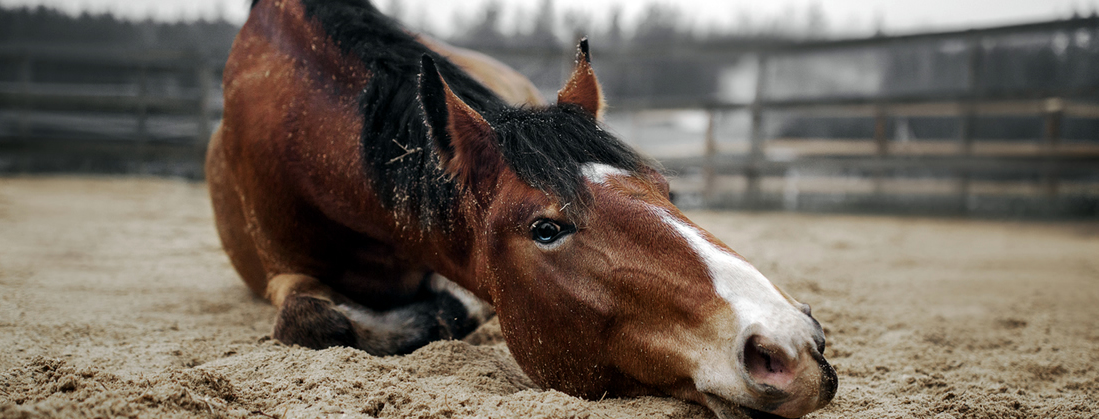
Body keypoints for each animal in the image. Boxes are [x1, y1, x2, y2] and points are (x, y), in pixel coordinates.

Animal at [209, 1, 835, 415]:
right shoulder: (280, 270)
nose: (793, 346)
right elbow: (313, 319)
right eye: (546, 229)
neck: (305, 136)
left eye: (668, 191)